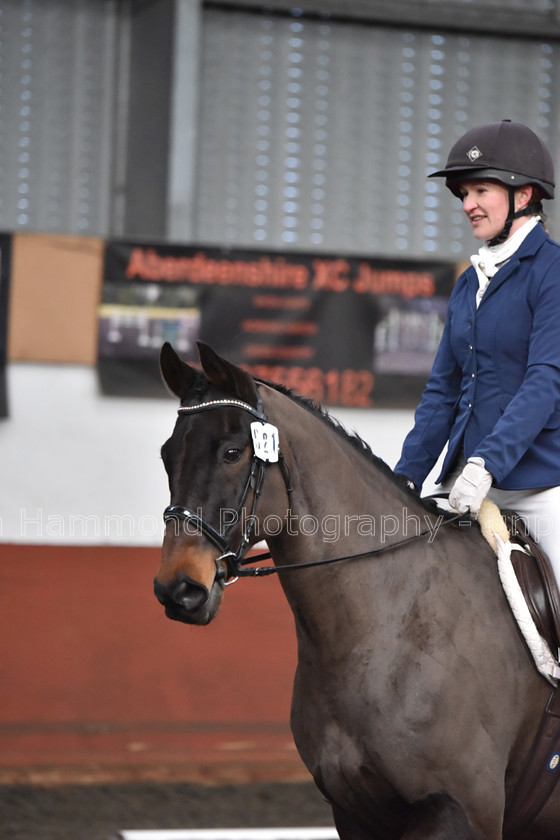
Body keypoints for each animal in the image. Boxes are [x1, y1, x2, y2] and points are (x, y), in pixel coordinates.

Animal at [153, 342, 560, 840]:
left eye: (232, 452)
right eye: (167, 455)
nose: (178, 589)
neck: (388, 629)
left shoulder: (463, 812)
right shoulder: (353, 811)